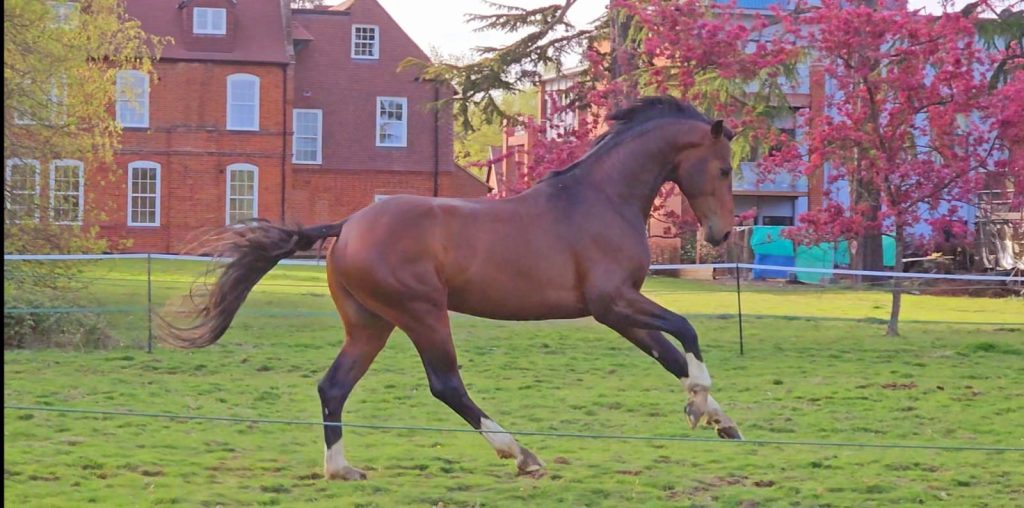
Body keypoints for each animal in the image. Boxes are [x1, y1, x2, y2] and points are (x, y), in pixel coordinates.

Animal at [163, 95, 749, 479]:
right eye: (723, 169)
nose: (720, 234)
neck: (601, 198)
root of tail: (348, 226)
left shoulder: (620, 311)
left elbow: (669, 355)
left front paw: (718, 419)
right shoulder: (614, 302)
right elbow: (686, 332)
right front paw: (701, 402)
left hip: (371, 325)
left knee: (333, 387)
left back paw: (341, 469)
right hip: (423, 314)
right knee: (445, 385)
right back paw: (520, 454)